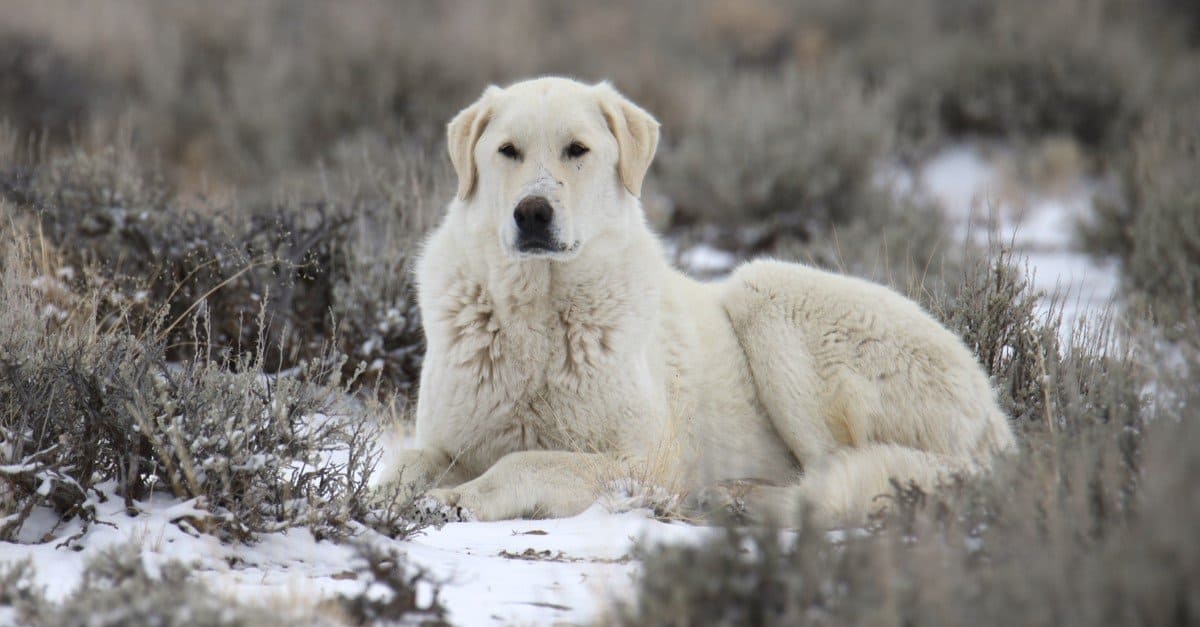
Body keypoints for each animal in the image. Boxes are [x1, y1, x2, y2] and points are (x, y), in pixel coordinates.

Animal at [379, 75, 1017, 523]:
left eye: (576, 150)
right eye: (507, 151)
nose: (532, 213)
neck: (539, 310)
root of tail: (995, 418)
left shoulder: (644, 460)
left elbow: (524, 460)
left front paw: (459, 499)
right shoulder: (447, 437)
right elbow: (406, 464)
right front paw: (395, 497)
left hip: (766, 293)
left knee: (837, 481)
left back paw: (738, 500)